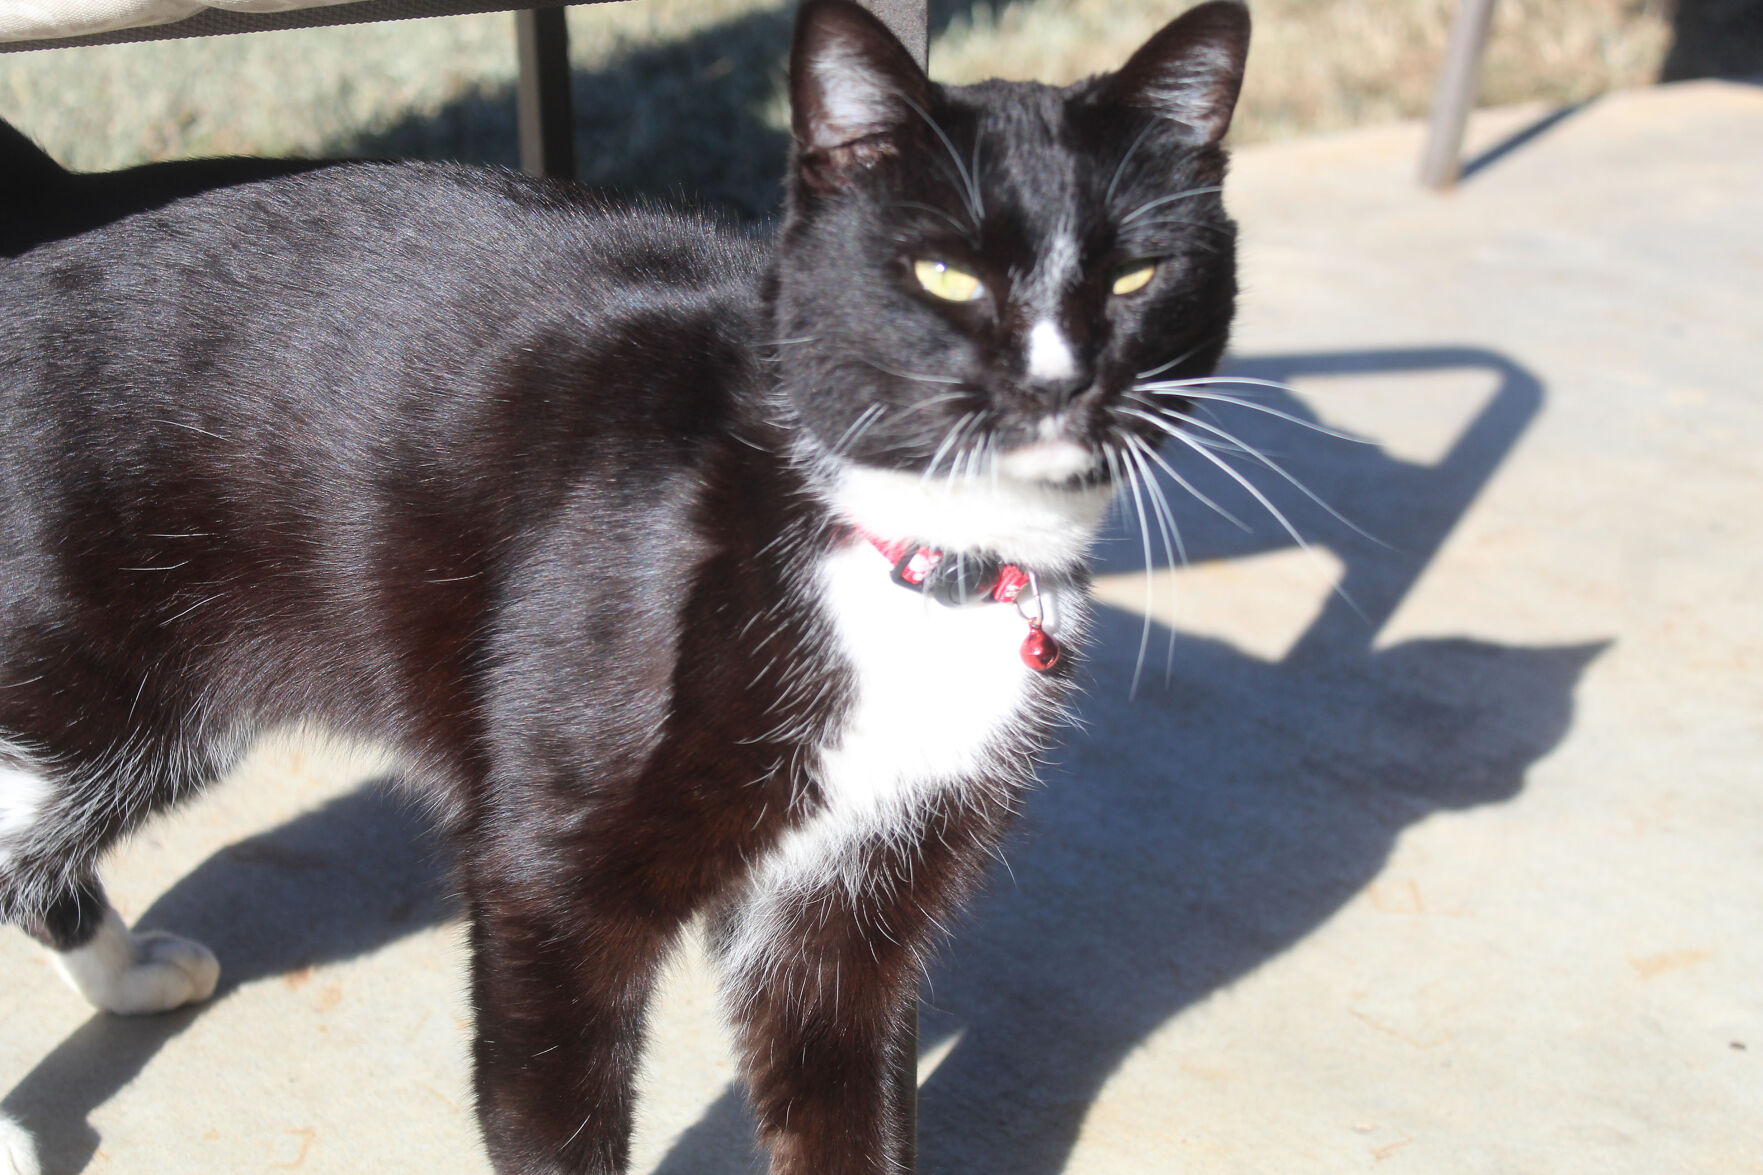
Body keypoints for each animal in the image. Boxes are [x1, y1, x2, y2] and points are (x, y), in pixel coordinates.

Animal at [0, 4, 1248, 1164]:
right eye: (942, 271)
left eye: (1136, 273)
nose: (1059, 382)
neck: (915, 565)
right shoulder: (550, 879)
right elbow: (553, 1101)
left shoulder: (851, 901)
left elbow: (844, 1096)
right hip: (73, 681)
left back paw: (128, 975)